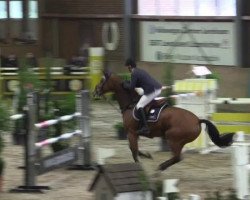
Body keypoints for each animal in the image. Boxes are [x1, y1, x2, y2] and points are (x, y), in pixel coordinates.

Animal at [93, 71, 234, 171]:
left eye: (102, 80)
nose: (95, 91)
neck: (131, 104)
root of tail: (197, 120)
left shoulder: (131, 133)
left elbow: (133, 151)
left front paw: (140, 165)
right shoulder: (135, 134)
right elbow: (135, 150)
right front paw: (147, 156)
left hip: (172, 138)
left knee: (177, 157)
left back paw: (160, 167)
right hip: (178, 141)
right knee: (177, 157)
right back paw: (161, 167)